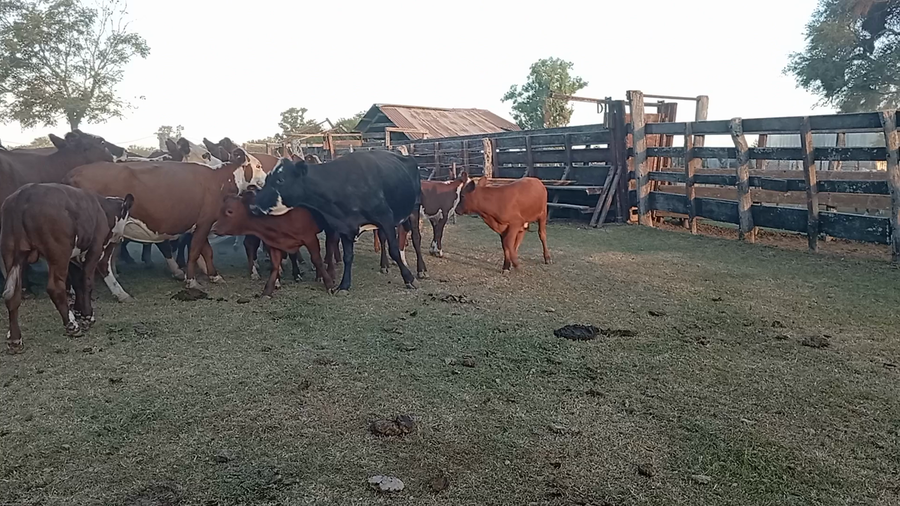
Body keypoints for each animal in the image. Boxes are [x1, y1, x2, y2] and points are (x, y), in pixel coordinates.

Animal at [1, 183, 134, 353]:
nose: (121, 238)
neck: (103, 210)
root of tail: (24, 195)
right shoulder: (94, 250)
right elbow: (86, 282)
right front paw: (87, 316)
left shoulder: (73, 258)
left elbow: (77, 283)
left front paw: (78, 311)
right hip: (59, 253)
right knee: (55, 288)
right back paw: (71, 326)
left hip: (11, 254)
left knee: (13, 295)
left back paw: (15, 339)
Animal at [63, 148, 265, 293]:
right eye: (258, 166)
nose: (266, 179)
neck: (218, 180)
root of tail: (73, 173)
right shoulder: (204, 223)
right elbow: (195, 252)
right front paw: (191, 281)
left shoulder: (201, 224)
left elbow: (206, 252)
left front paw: (214, 276)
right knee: (100, 263)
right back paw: (120, 293)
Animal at [250, 150, 426, 293]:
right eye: (267, 179)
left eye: (280, 180)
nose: (253, 205)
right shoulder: (345, 227)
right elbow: (348, 257)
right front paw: (344, 285)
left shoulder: (386, 217)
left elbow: (394, 250)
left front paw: (409, 279)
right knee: (383, 239)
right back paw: (384, 265)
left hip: (414, 208)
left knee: (416, 238)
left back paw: (421, 269)